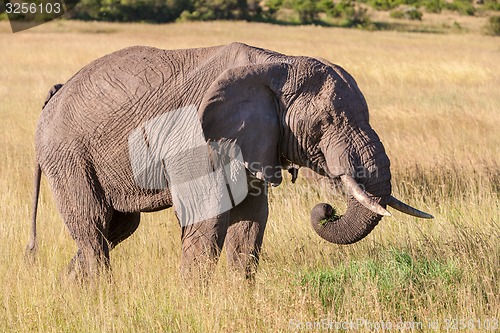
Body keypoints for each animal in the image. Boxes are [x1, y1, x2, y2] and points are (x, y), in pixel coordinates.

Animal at [28, 42, 434, 278]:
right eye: (323, 124)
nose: (326, 209)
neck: (277, 63)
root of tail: (54, 94)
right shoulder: (195, 138)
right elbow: (208, 216)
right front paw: (192, 305)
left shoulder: (254, 142)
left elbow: (251, 221)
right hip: (67, 154)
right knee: (94, 226)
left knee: (117, 227)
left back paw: (71, 293)